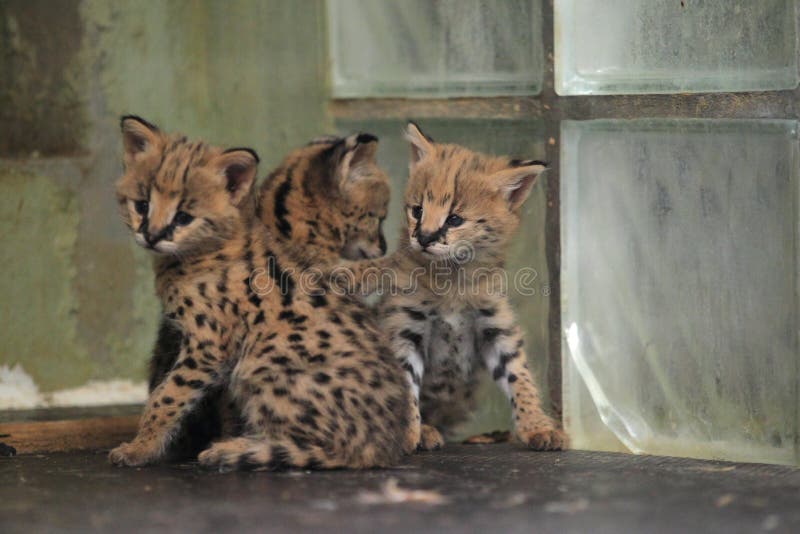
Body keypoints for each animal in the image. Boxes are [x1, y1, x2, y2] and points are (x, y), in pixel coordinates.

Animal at [111, 118, 412, 474]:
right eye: (142, 205)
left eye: (184, 216)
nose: (152, 235)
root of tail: (383, 445)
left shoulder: (208, 345)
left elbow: (168, 395)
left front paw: (139, 448)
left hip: (259, 365)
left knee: (335, 452)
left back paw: (233, 450)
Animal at [350, 123, 564, 454]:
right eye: (417, 210)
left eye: (454, 219)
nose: (424, 238)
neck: (452, 279)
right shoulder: (404, 327)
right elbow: (405, 381)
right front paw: (408, 433)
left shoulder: (496, 325)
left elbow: (519, 374)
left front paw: (537, 426)